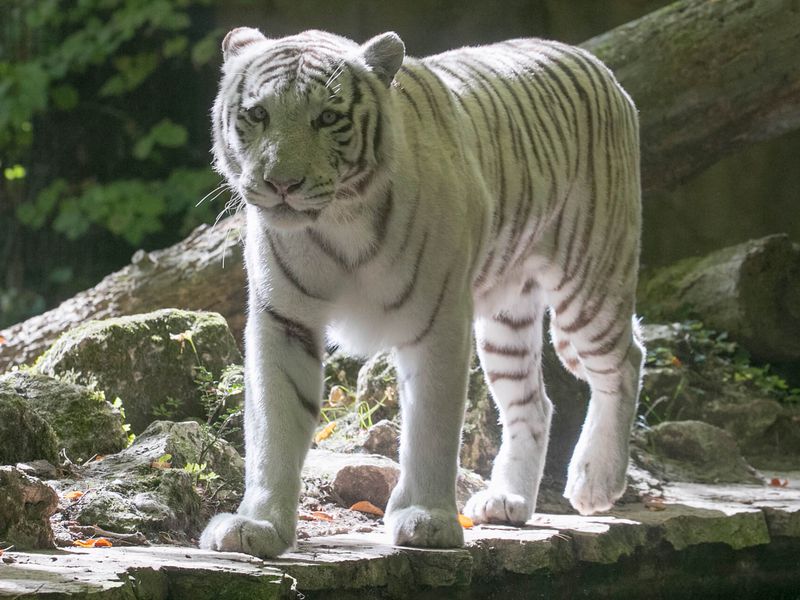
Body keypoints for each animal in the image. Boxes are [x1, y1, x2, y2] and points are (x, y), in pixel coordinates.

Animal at [200, 25, 644, 560]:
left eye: (327, 117)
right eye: (258, 114)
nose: (281, 183)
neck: (338, 224)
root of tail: (593, 60)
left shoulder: (438, 319)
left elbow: (431, 424)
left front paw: (427, 519)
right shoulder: (285, 320)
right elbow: (274, 424)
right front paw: (258, 525)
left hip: (590, 282)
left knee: (625, 361)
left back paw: (596, 481)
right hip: (506, 318)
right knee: (534, 402)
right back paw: (507, 500)